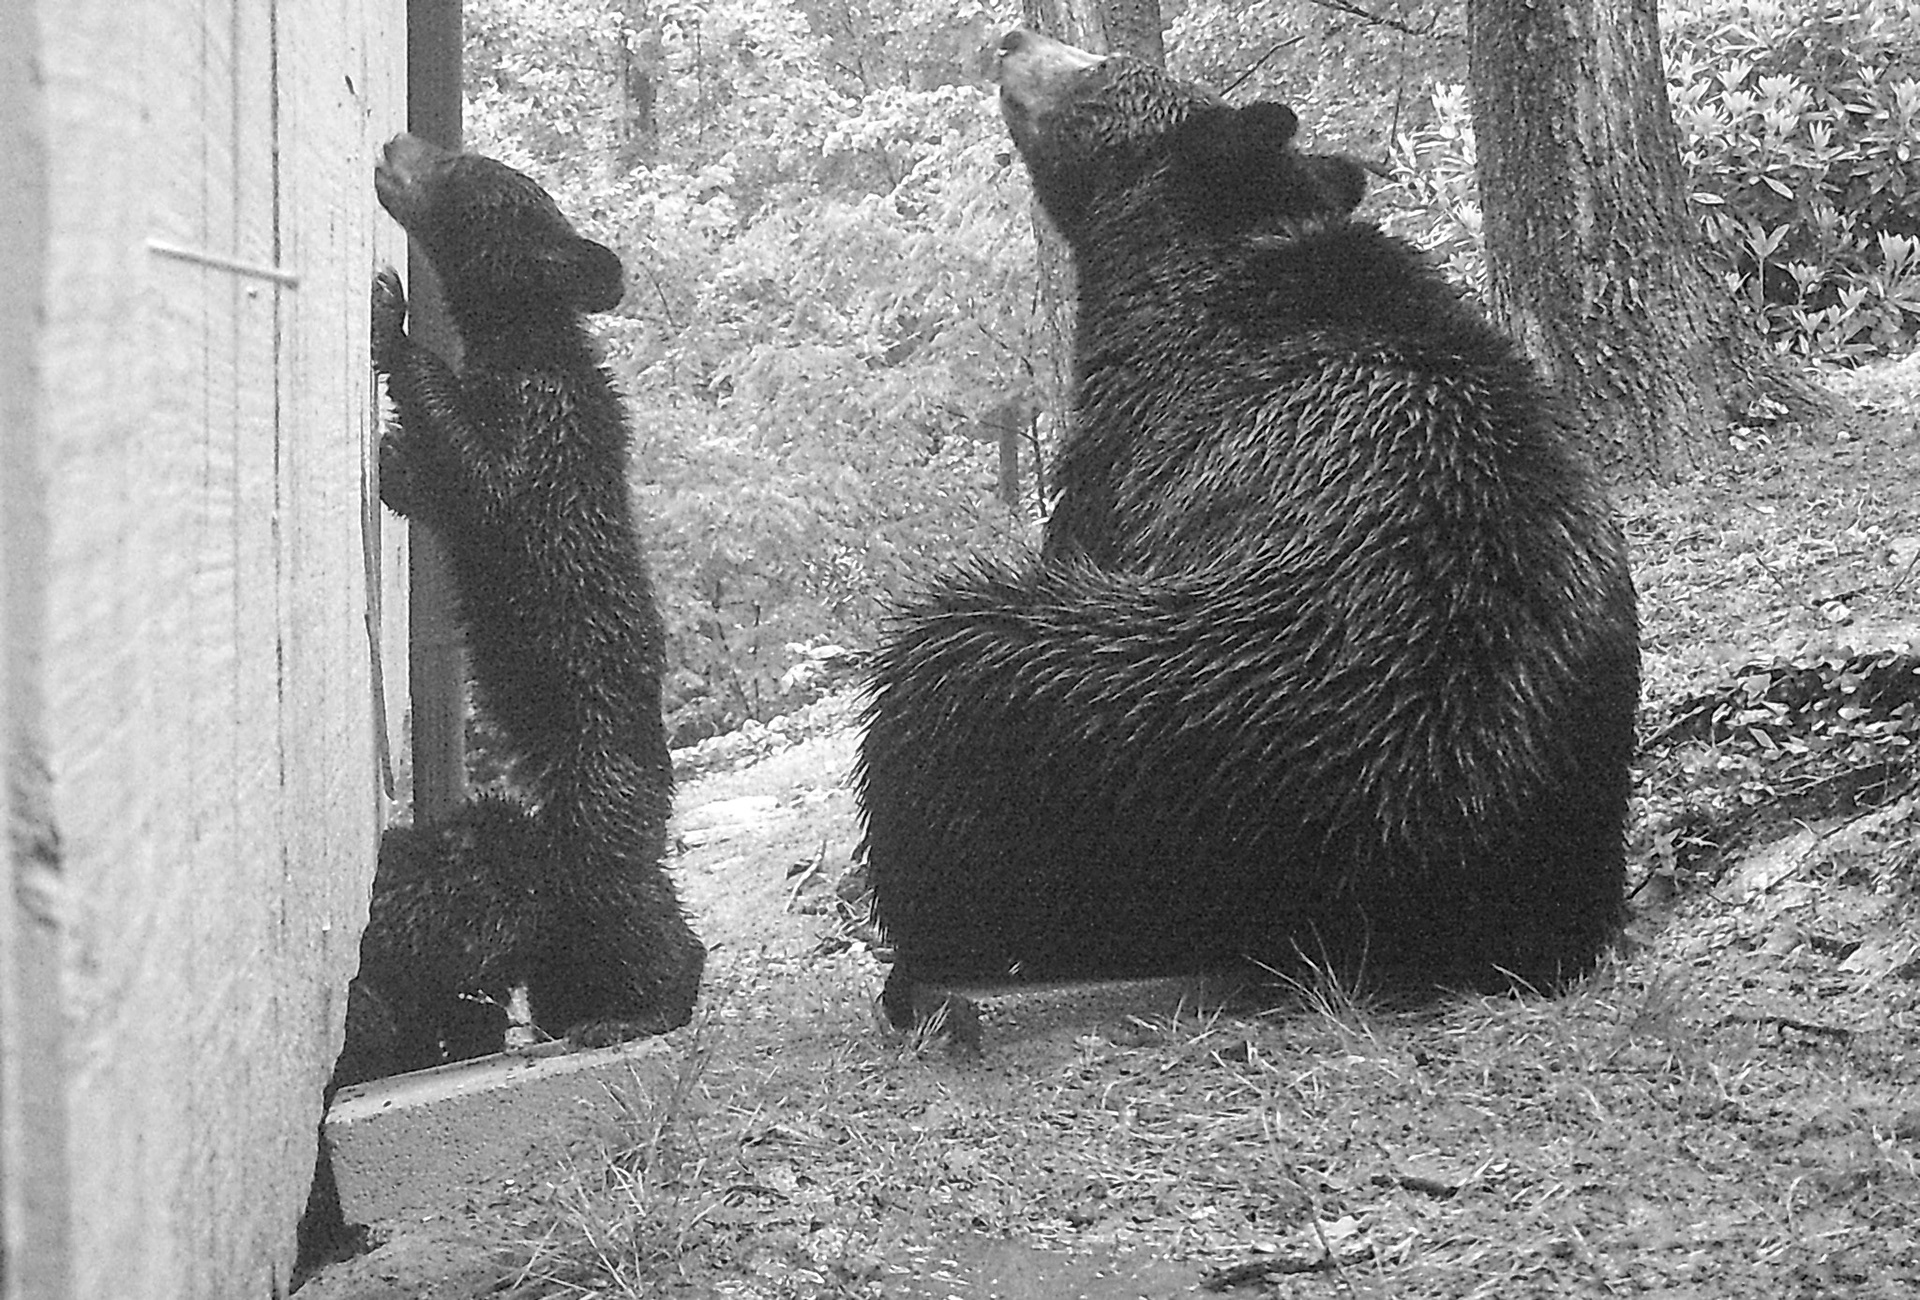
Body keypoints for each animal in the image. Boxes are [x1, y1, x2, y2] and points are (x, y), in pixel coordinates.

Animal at [343, 133, 704, 1077]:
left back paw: (637, 1012)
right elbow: (434, 486)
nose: (392, 141)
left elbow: (481, 476)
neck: (526, 344)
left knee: (636, 913)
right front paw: (393, 459)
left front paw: (389, 320)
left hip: (590, 805)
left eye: (463, 171)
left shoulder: (542, 431)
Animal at [854, 29, 1640, 1029]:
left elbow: (1082, 529)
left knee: (937, 678)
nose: (1011, 37)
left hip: (1123, 715)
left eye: (1101, 66)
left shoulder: (1134, 441)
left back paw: (919, 952)